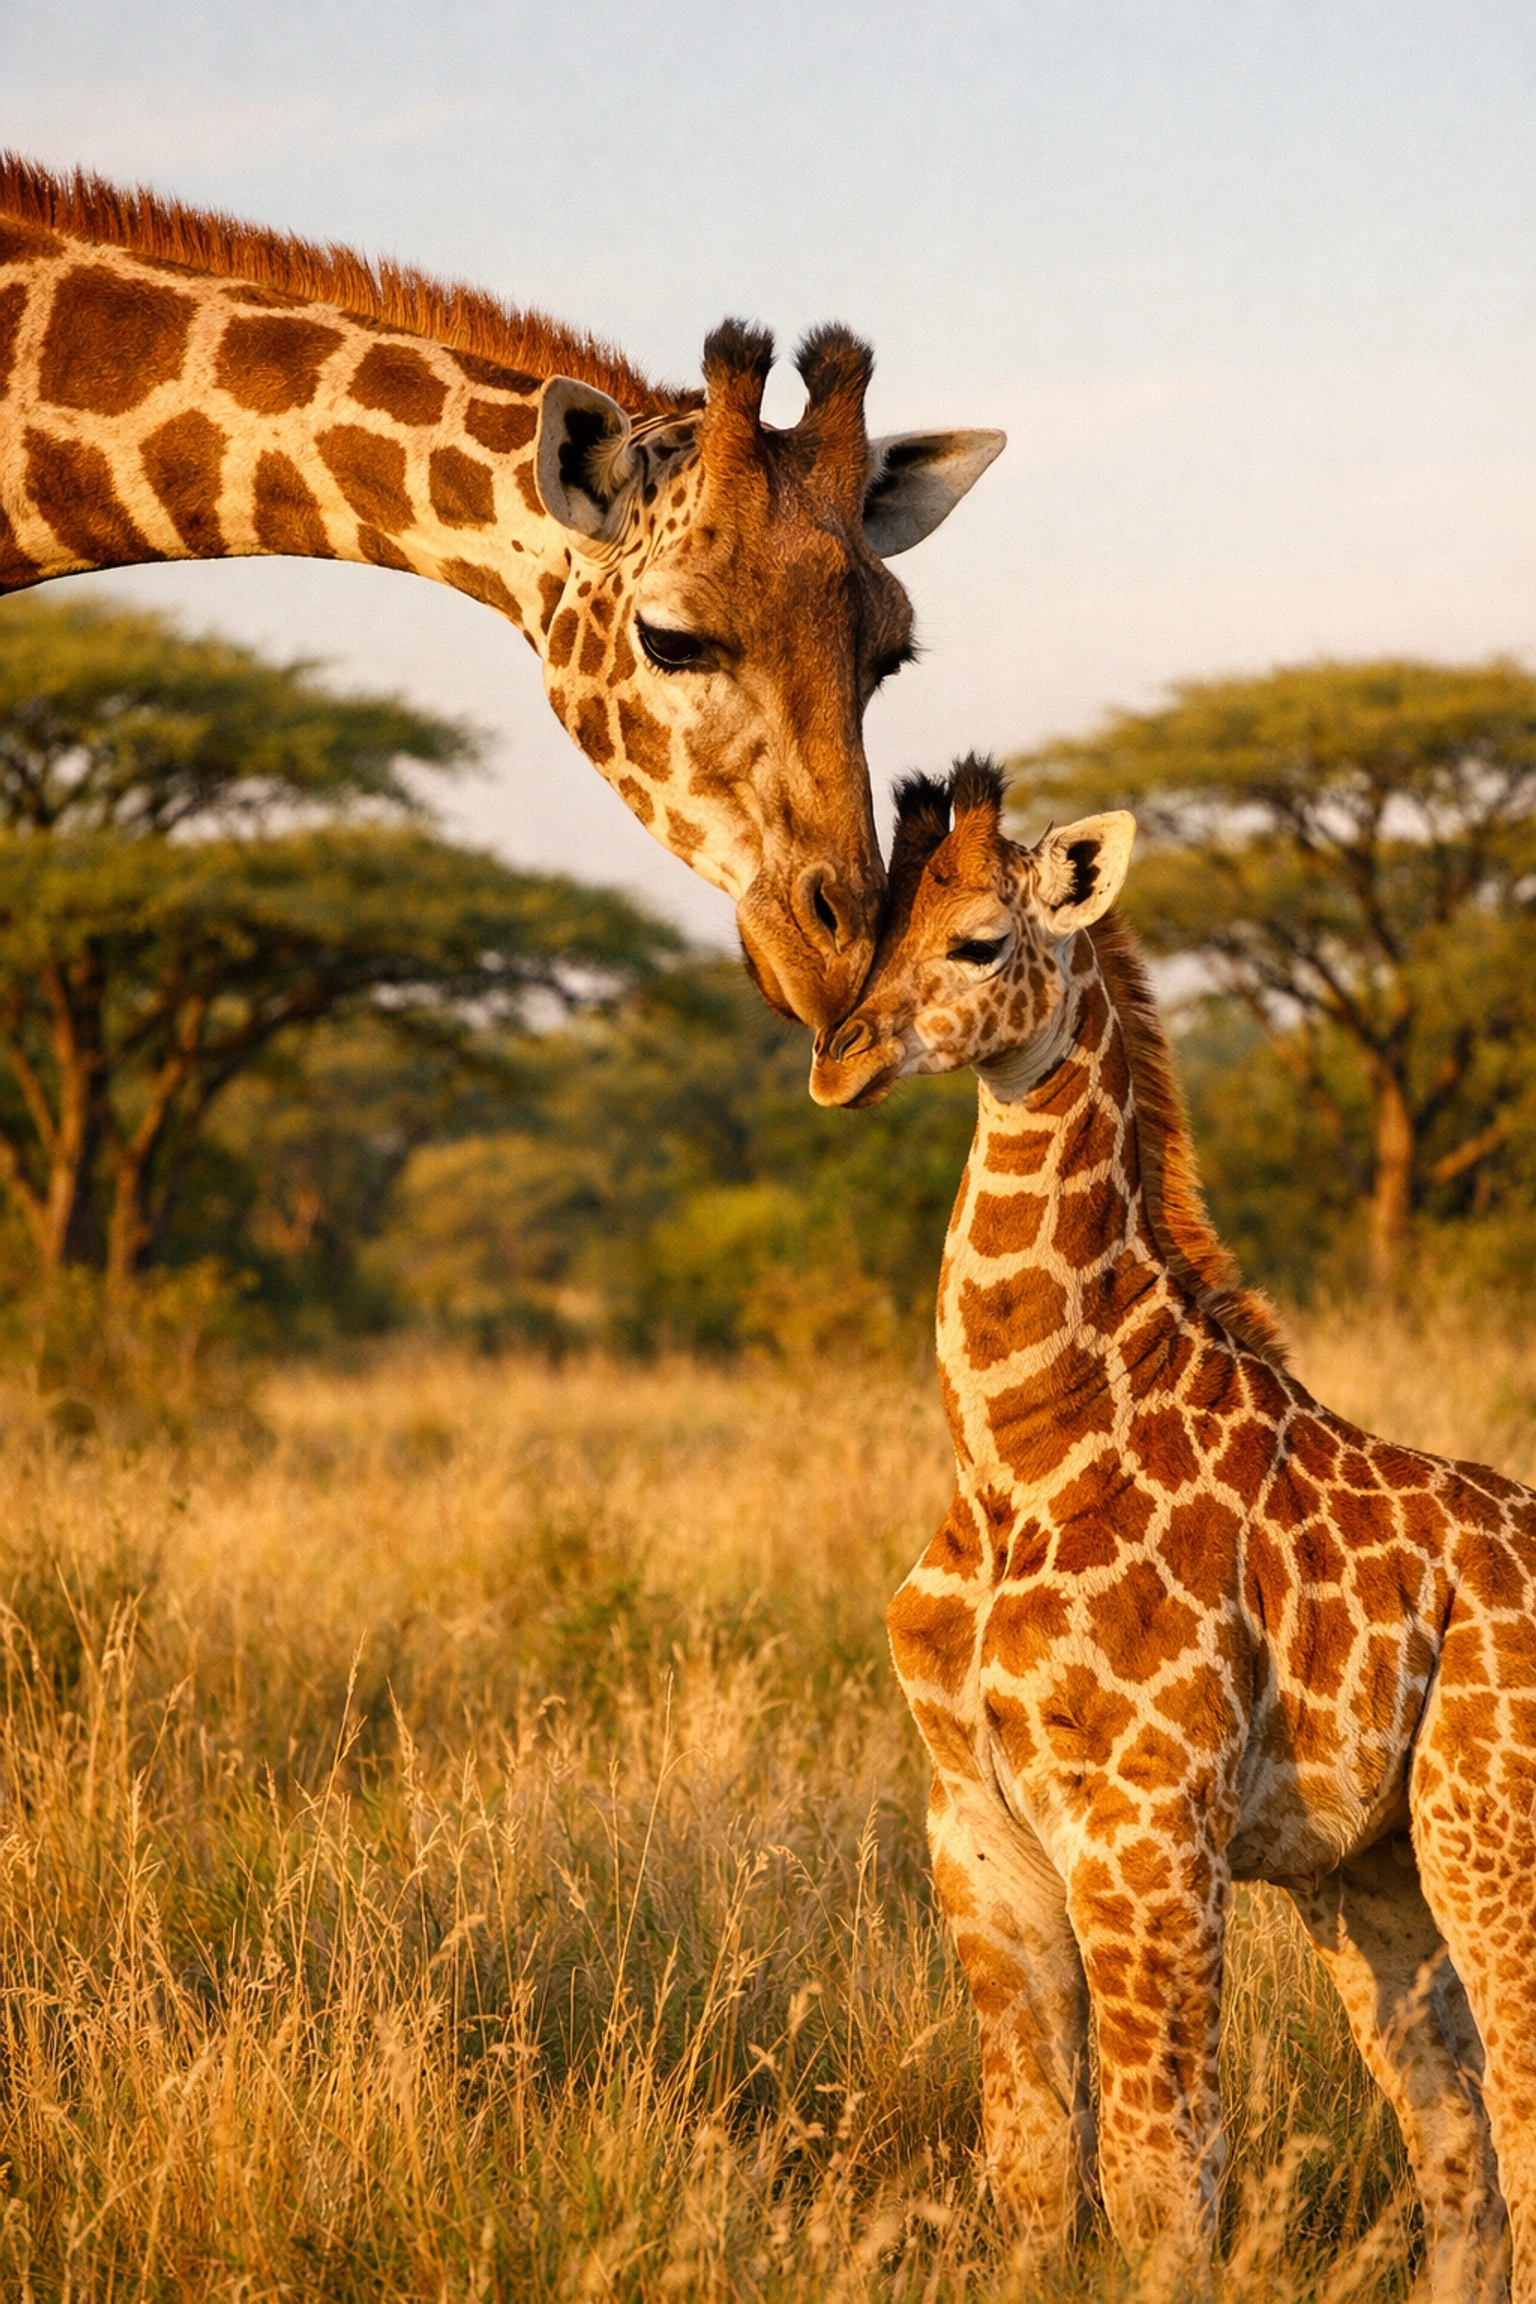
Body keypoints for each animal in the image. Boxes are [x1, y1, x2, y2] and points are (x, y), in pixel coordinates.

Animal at [811, 756, 1536, 2302]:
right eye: (881, 926)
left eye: (982, 945)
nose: (839, 1057)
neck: (1021, 1454)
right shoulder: (976, 1826)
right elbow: (1034, 2173)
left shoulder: (1147, 1826)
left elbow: (1164, 2177)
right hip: (1373, 1877)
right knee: (1458, 2151)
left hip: (1486, 1830)